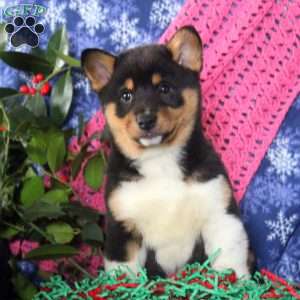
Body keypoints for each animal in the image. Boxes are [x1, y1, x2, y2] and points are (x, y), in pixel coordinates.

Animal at [81, 27, 250, 278]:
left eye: (164, 88)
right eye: (126, 95)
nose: (146, 120)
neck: (159, 159)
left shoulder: (219, 213)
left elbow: (229, 262)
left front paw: (232, 283)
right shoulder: (123, 228)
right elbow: (125, 275)